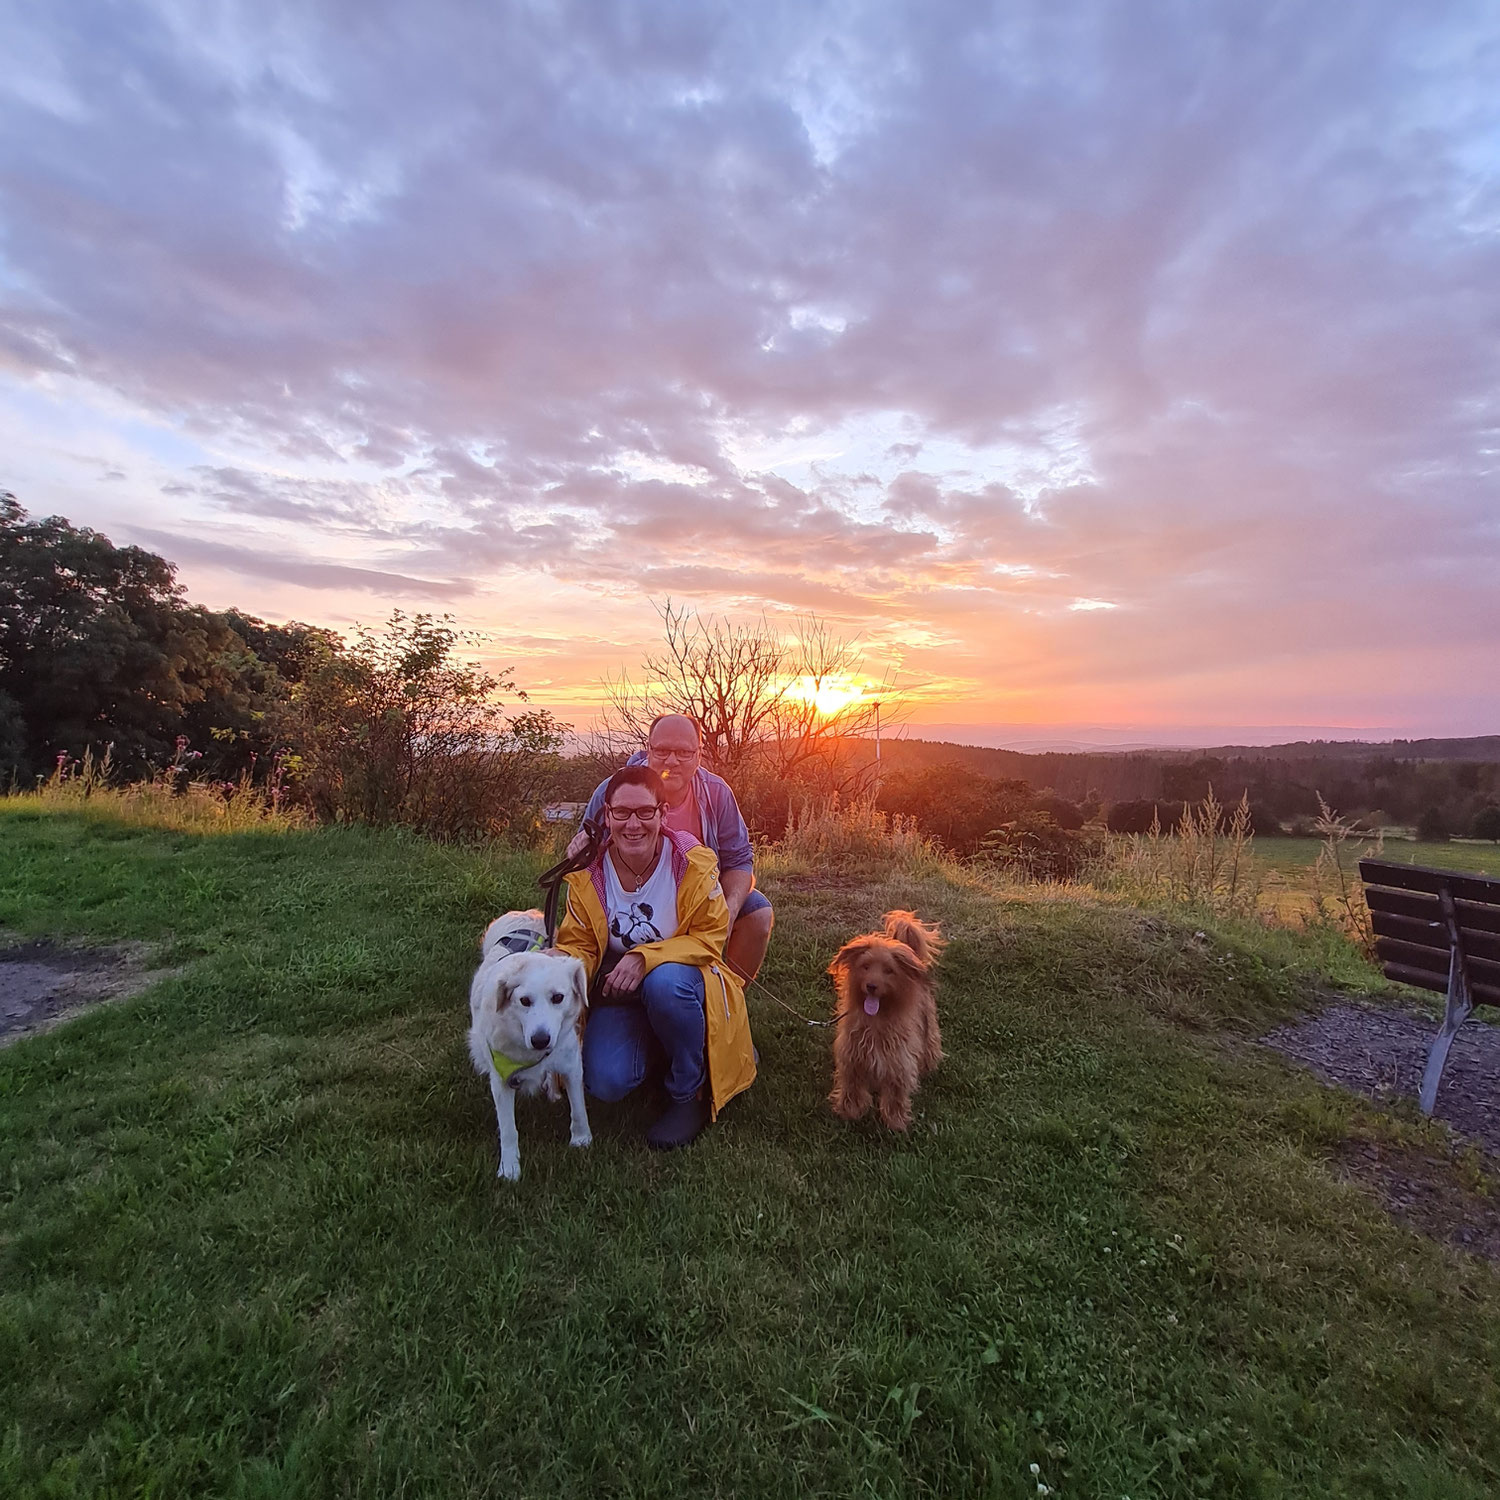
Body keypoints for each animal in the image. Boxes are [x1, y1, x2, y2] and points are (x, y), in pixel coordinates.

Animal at [468, 912, 591, 1182]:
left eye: (558, 997)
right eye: (524, 1001)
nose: (541, 1040)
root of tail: (525, 913)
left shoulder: (571, 1064)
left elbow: (578, 1109)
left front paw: (581, 1140)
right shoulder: (501, 1081)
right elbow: (508, 1130)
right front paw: (509, 1169)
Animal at [828, 906, 942, 1128]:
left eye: (889, 971)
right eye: (865, 966)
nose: (871, 986)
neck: (877, 1019)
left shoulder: (899, 1061)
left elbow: (896, 1093)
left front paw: (895, 1122)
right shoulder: (852, 1057)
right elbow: (852, 1088)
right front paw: (849, 1112)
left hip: (928, 1025)